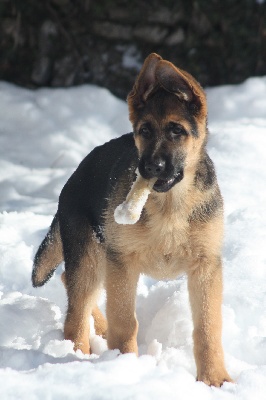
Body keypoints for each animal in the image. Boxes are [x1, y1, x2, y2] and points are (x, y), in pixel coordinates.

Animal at [32, 54, 232, 388]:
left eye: (177, 131)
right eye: (145, 131)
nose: (150, 168)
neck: (170, 206)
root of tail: (74, 176)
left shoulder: (206, 267)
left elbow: (208, 328)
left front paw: (215, 379)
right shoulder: (124, 263)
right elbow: (125, 321)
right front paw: (123, 365)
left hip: (101, 260)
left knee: (72, 287)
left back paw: (98, 332)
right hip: (91, 257)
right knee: (75, 314)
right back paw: (79, 355)